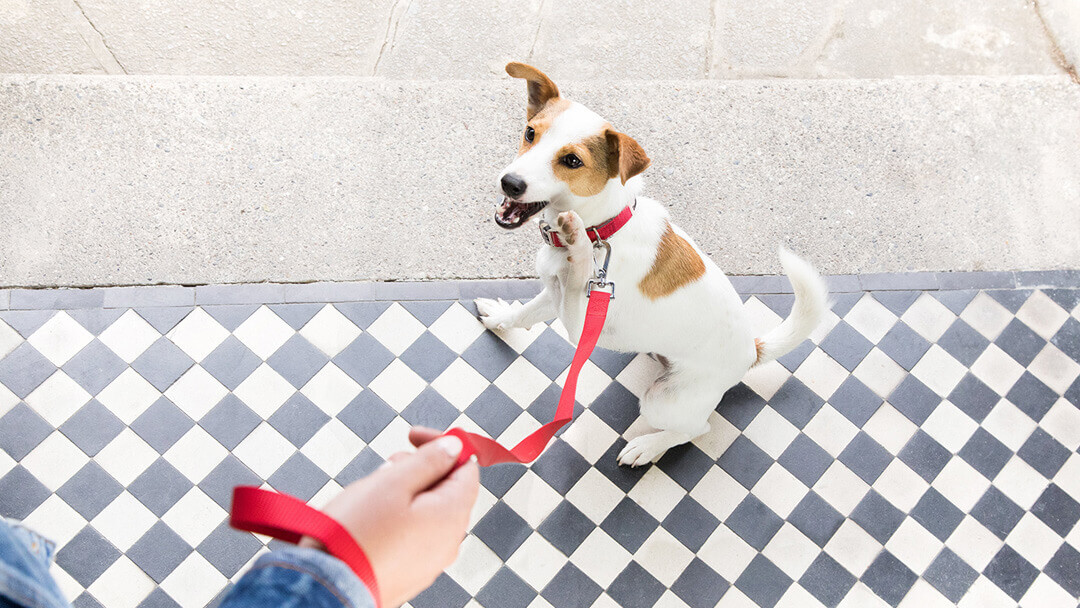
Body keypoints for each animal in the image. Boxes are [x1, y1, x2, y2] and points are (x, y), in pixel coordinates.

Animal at [475, 63, 825, 466]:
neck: (604, 228)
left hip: (662, 400)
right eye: (531, 133)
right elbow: (523, 314)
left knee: (697, 429)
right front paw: (499, 316)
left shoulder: (582, 326)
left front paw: (578, 249)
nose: (510, 182)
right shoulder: (551, 292)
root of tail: (753, 350)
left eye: (572, 160)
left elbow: (577, 278)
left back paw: (648, 447)